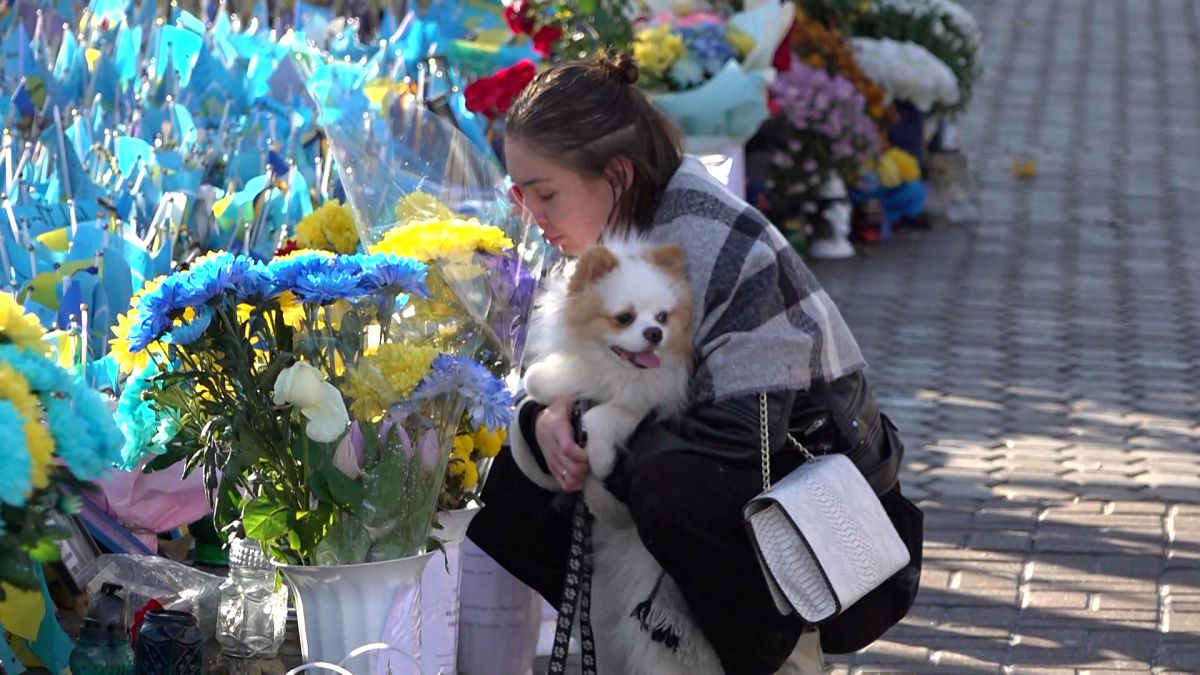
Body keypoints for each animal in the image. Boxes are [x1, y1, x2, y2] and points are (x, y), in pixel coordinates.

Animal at [508, 239, 720, 672]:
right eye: (625, 318)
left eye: (663, 317)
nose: (655, 333)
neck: (615, 373)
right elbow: (539, 379)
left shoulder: (648, 404)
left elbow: (602, 418)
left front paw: (601, 467)